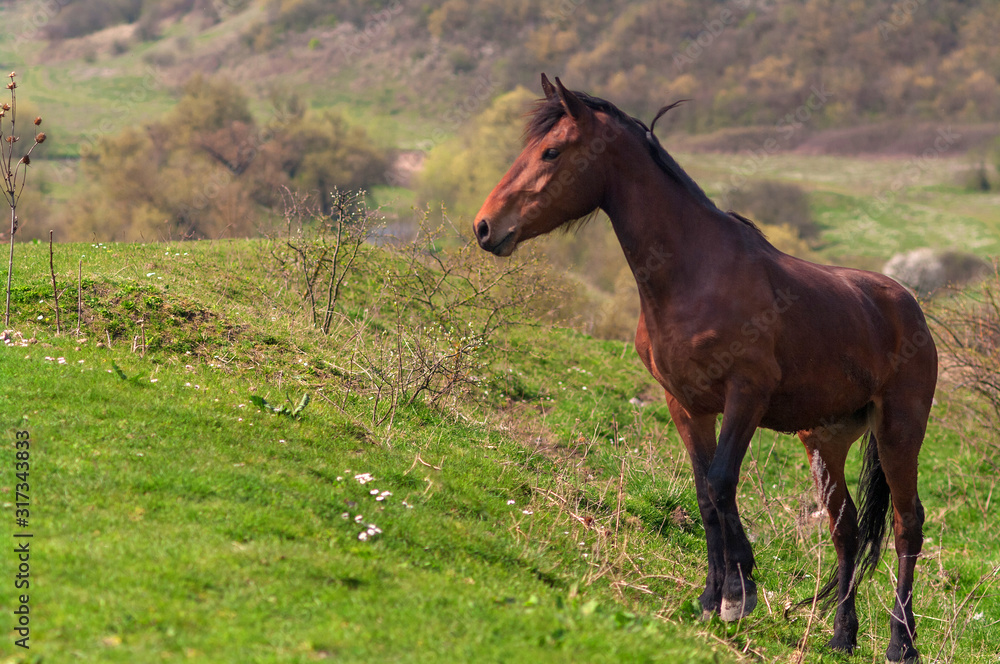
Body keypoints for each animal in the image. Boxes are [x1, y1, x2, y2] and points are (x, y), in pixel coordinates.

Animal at [474, 74, 937, 662]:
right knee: (847, 529)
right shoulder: (686, 404)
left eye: (551, 151)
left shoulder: (745, 396)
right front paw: (711, 597)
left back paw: (902, 642)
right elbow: (704, 493)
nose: (485, 226)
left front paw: (739, 594)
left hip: (900, 430)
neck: (694, 274)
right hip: (825, 439)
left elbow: (720, 483)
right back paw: (841, 637)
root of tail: (907, 304)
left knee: (907, 525)